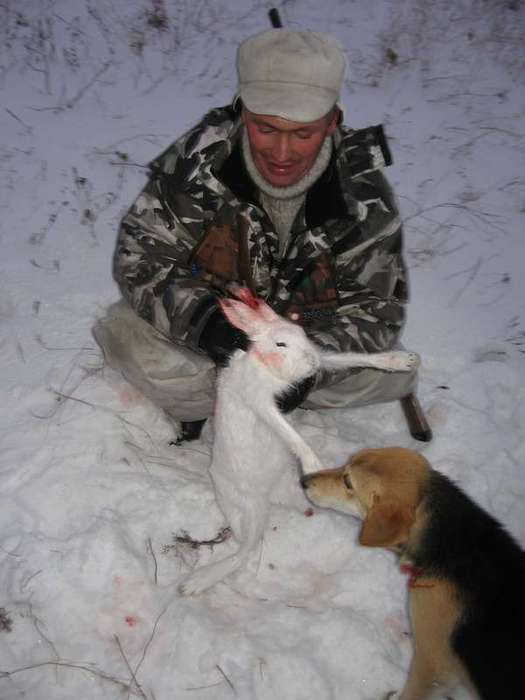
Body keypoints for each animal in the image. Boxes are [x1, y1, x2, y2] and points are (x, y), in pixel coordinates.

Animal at [298, 448, 524, 700]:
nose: (303, 480)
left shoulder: (432, 661)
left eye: (348, 482)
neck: (456, 546)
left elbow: (413, 690)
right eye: (347, 463)